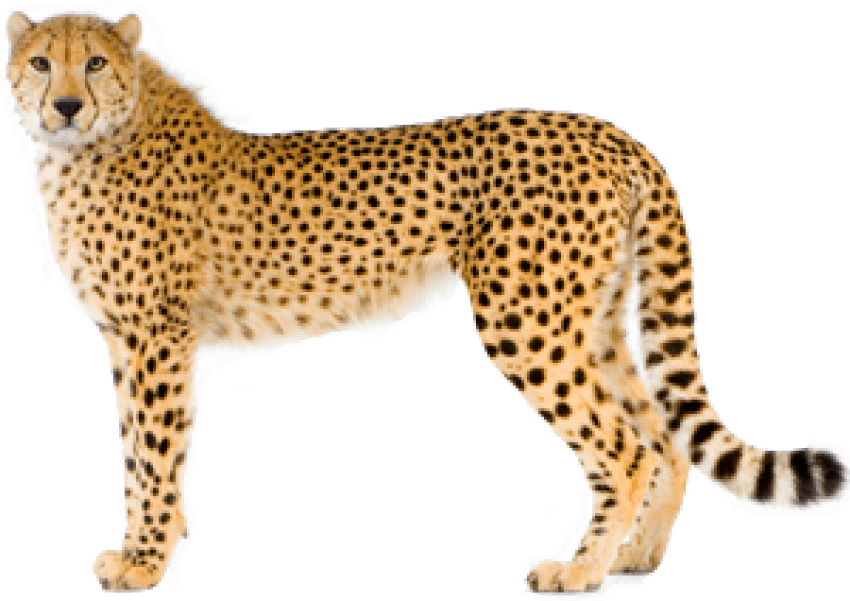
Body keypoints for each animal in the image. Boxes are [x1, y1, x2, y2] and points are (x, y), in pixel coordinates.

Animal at [5, 10, 848, 594]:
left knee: (623, 445)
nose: (66, 105)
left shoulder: (154, 336)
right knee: (663, 436)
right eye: (41, 61)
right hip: (593, 320)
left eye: (96, 63)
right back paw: (635, 557)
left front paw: (144, 562)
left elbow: (150, 452)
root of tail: (605, 129)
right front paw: (149, 544)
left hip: (527, 321)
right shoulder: (128, 340)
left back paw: (578, 569)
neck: (89, 148)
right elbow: (139, 450)